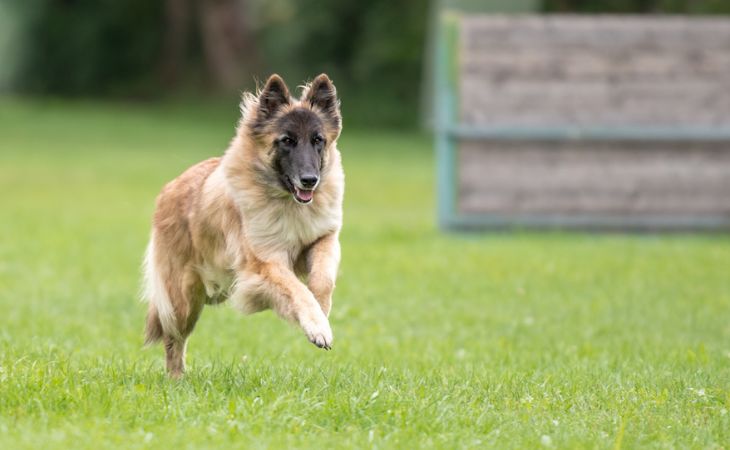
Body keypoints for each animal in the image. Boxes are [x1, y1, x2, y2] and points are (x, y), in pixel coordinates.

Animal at [141, 75, 342, 378]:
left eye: (318, 140)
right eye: (287, 141)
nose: (310, 180)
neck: (287, 203)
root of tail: (169, 188)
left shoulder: (323, 238)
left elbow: (322, 279)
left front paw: (322, 311)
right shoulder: (265, 264)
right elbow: (296, 290)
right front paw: (317, 327)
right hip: (184, 299)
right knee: (173, 339)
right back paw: (176, 380)